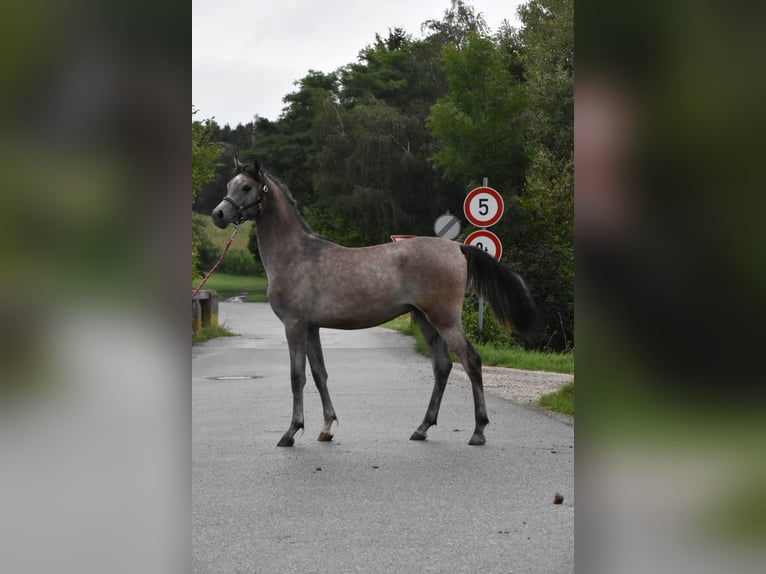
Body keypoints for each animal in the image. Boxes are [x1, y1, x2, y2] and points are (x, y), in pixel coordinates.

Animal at [213, 159, 544, 450]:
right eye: (229, 184)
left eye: (246, 187)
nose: (218, 214)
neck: (296, 253)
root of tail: (458, 248)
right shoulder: (311, 328)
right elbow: (320, 375)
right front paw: (326, 428)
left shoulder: (294, 326)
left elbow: (298, 377)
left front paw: (291, 432)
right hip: (424, 319)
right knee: (442, 367)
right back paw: (422, 428)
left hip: (445, 320)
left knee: (471, 361)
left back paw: (478, 431)